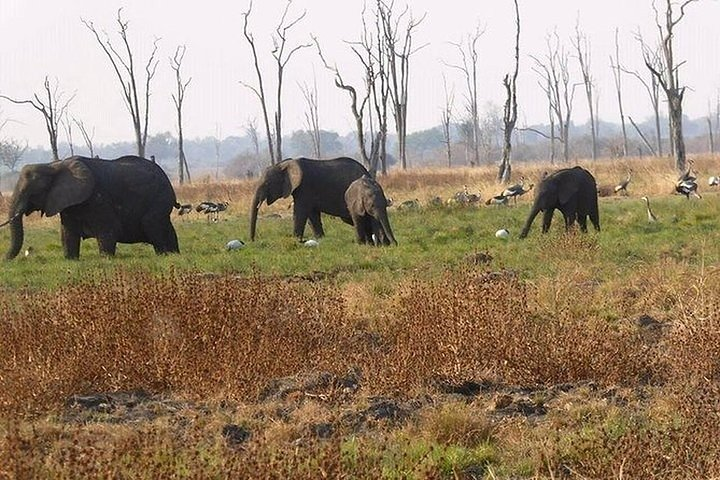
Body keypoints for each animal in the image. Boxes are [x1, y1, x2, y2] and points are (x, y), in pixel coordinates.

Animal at [1, 155, 180, 258]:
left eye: (33, 192)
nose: (5, 260)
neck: (53, 165)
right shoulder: (67, 203)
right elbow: (68, 233)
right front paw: (71, 259)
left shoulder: (98, 196)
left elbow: (108, 228)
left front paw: (106, 259)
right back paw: (174, 254)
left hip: (160, 197)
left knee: (152, 224)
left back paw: (164, 255)